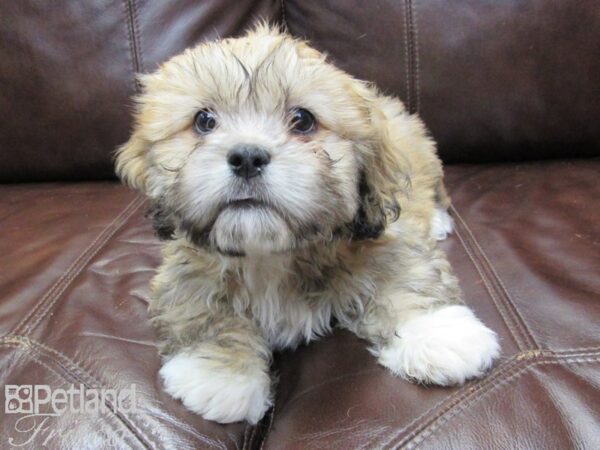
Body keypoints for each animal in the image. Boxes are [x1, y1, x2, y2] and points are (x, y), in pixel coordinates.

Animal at [115, 25, 500, 426]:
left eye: (303, 120)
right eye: (204, 121)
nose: (247, 157)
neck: (271, 252)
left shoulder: (386, 240)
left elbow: (406, 275)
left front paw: (438, 335)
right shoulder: (187, 267)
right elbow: (200, 306)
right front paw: (221, 374)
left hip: (425, 158)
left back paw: (438, 220)